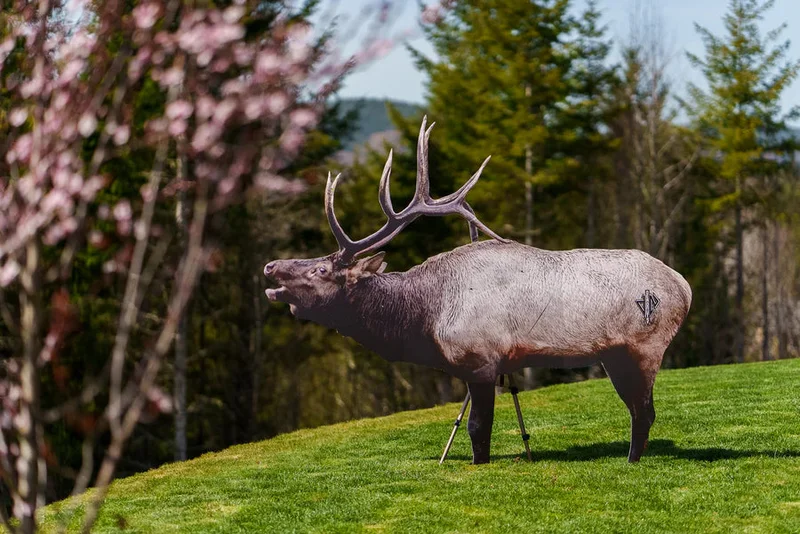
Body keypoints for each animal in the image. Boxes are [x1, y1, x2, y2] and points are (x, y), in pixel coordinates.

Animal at [263, 117, 692, 465]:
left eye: (321, 269)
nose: (270, 266)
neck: (425, 318)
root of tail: (684, 286)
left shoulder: (480, 360)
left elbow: (476, 431)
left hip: (643, 346)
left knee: (643, 411)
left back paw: (632, 462)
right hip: (614, 355)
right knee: (640, 410)